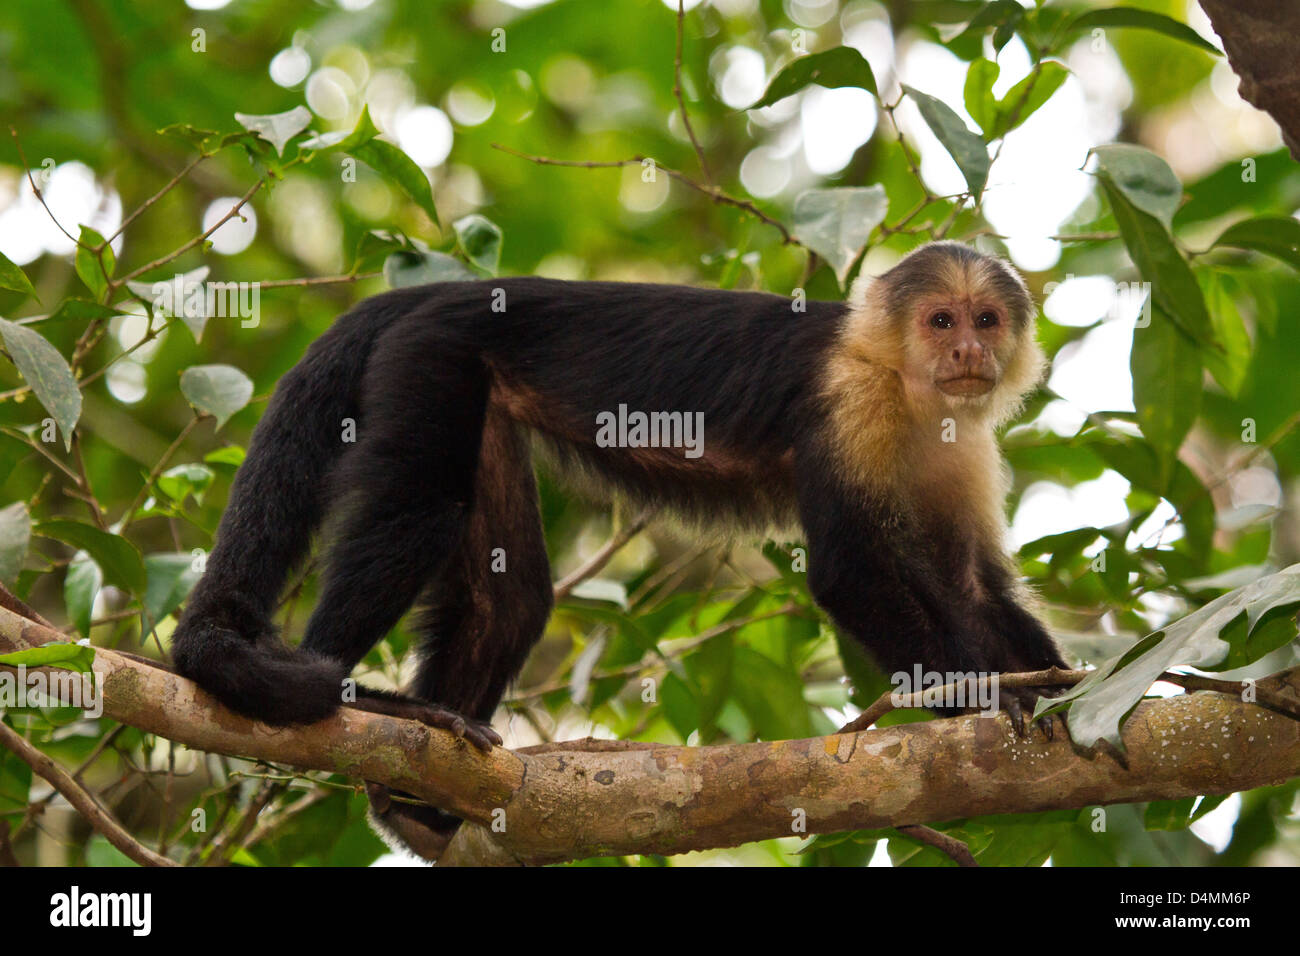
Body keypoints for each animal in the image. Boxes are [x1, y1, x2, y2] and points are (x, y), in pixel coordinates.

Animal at [172, 240, 1066, 858]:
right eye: (940, 320)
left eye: (985, 321)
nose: (967, 354)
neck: (906, 389)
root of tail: (447, 289)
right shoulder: (848, 403)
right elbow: (848, 571)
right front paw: (976, 696)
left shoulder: (961, 444)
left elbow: (970, 584)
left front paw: (1061, 690)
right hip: (431, 356)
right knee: (418, 513)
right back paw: (361, 705)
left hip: (471, 383)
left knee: (510, 596)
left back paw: (411, 805)